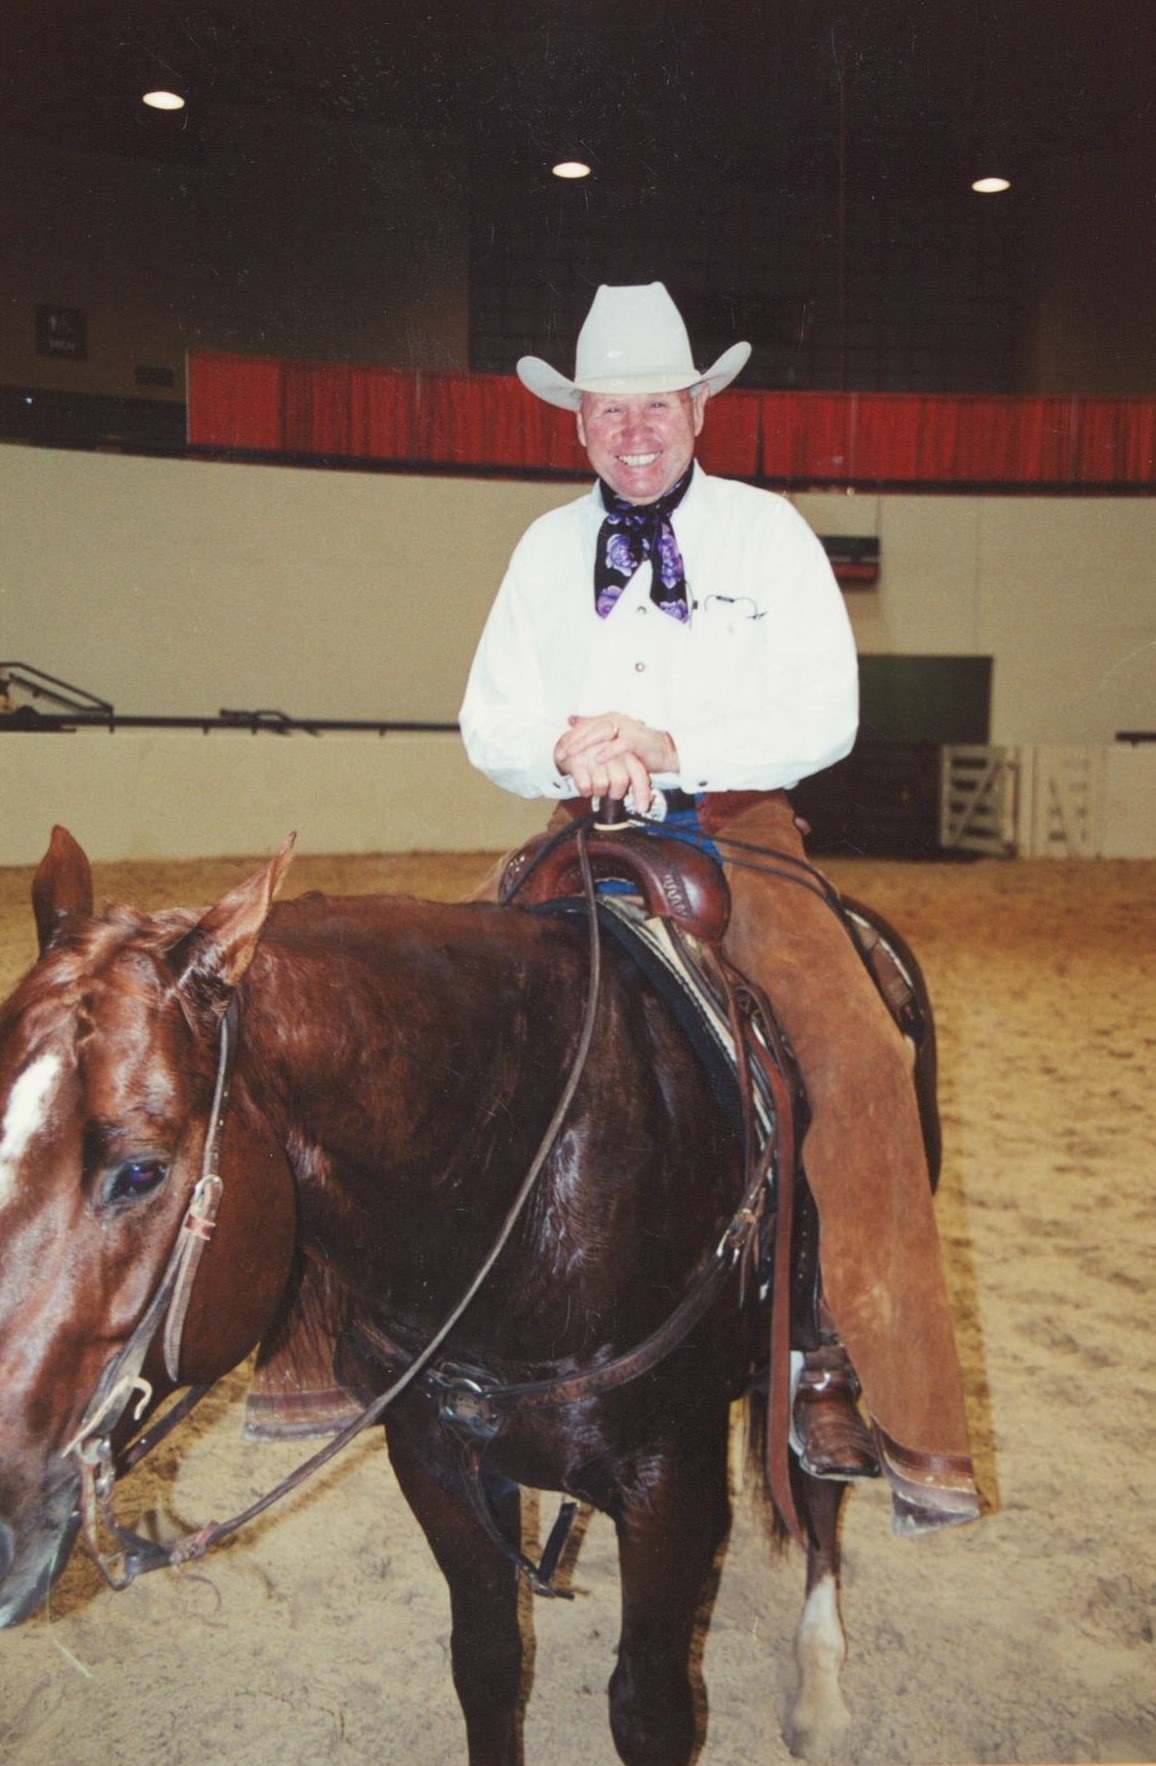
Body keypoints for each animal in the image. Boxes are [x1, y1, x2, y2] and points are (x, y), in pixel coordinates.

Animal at [0, 826, 931, 1766]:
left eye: (141, 1171)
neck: (533, 1169)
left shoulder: (670, 1485)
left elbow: (650, 1708)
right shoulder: (435, 1457)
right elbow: (488, 1665)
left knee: (818, 1489)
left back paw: (820, 1694)